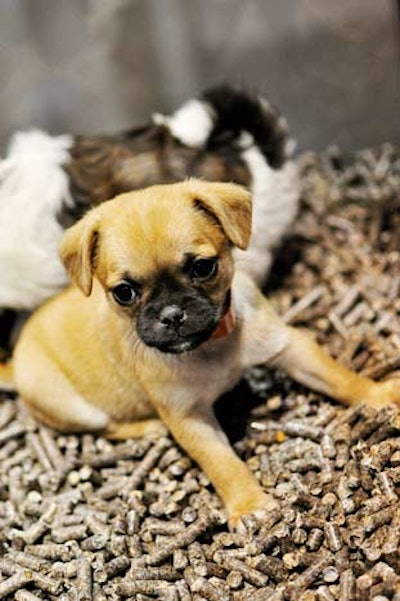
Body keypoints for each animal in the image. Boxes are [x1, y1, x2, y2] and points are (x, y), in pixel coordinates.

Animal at [5, 180, 400, 528]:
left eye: (203, 267)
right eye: (124, 292)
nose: (171, 314)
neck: (208, 345)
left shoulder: (288, 347)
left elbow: (339, 377)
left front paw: (379, 395)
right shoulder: (189, 419)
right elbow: (223, 463)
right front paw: (250, 505)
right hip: (71, 405)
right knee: (107, 425)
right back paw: (149, 428)